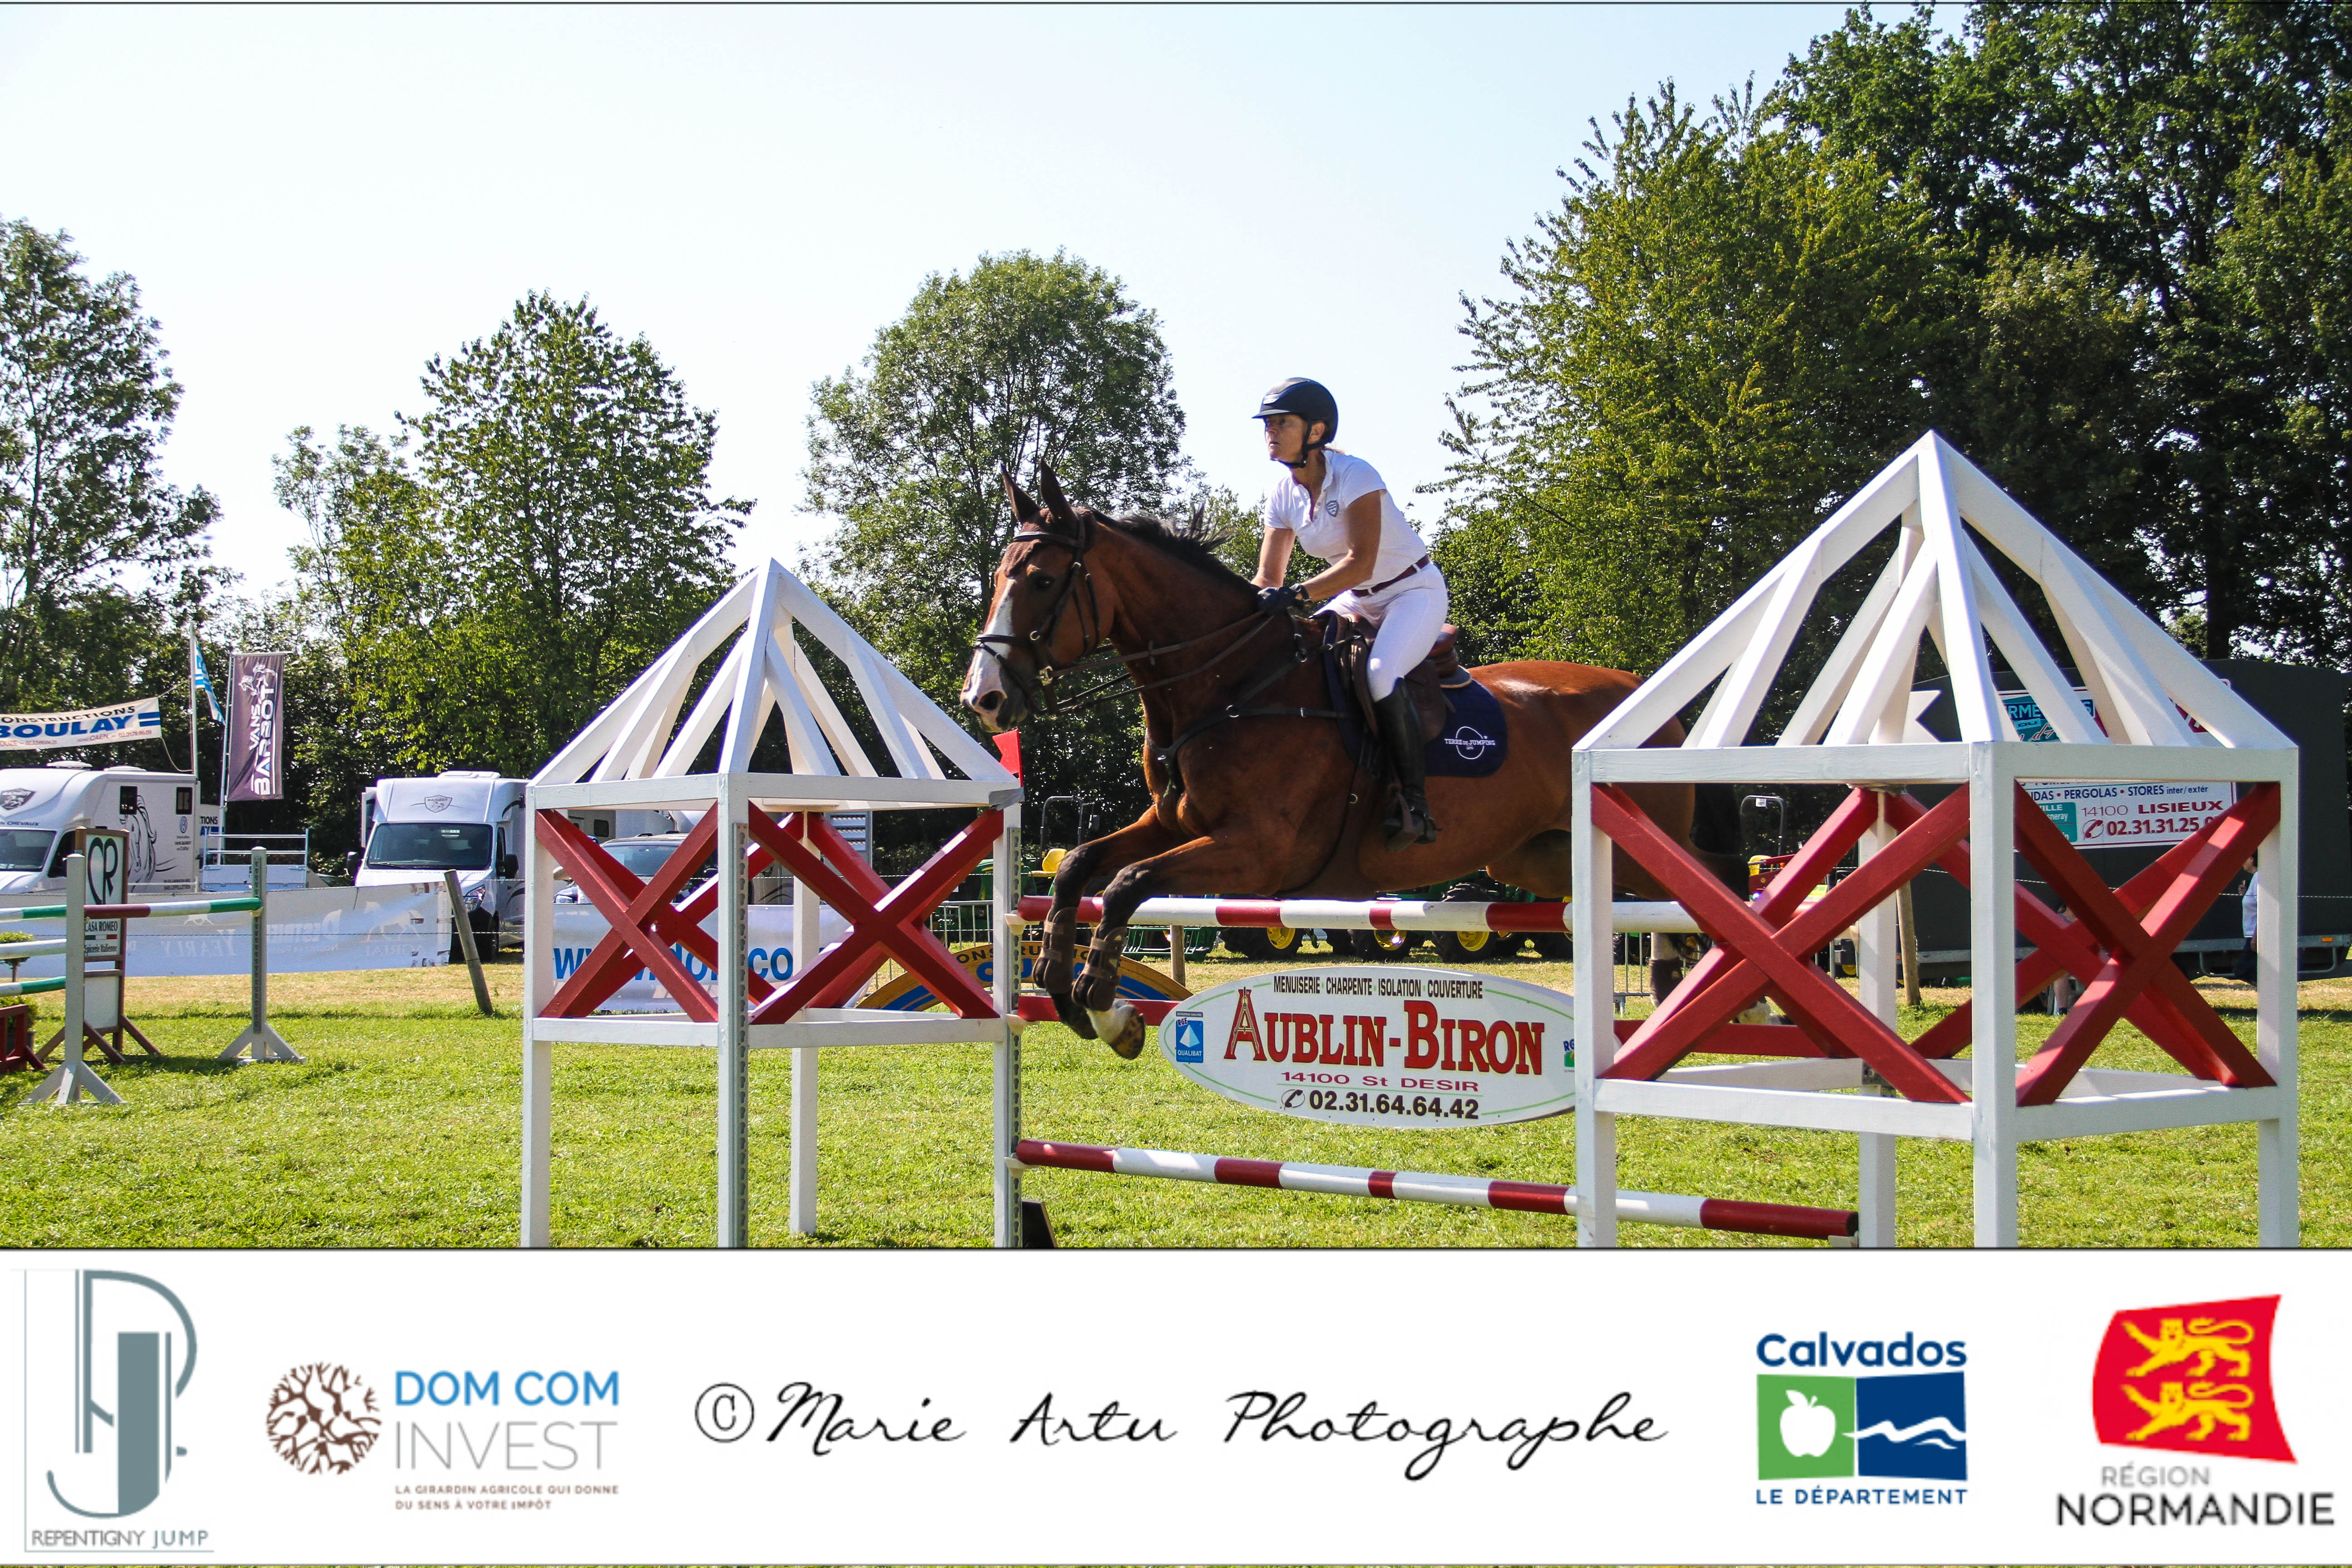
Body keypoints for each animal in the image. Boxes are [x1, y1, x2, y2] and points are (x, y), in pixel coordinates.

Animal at [961, 466, 1747, 1057]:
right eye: (1000, 574)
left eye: (1040, 580)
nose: (984, 698)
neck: (1236, 684)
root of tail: (1645, 694)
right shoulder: (1175, 822)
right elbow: (1078, 866)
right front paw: (1064, 986)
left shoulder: (1260, 854)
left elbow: (1127, 883)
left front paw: (1105, 1004)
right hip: (1542, 858)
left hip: (1643, 839)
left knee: (1707, 890)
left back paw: (1734, 995)